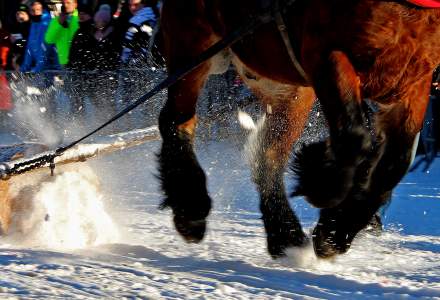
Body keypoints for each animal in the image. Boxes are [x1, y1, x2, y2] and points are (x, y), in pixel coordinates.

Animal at [156, 0, 440, 258]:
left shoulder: (413, 83)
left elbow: (393, 164)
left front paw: (336, 230)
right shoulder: (325, 55)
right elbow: (354, 138)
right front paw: (323, 185)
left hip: (285, 82)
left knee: (268, 155)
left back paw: (284, 234)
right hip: (194, 45)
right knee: (175, 121)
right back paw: (190, 207)